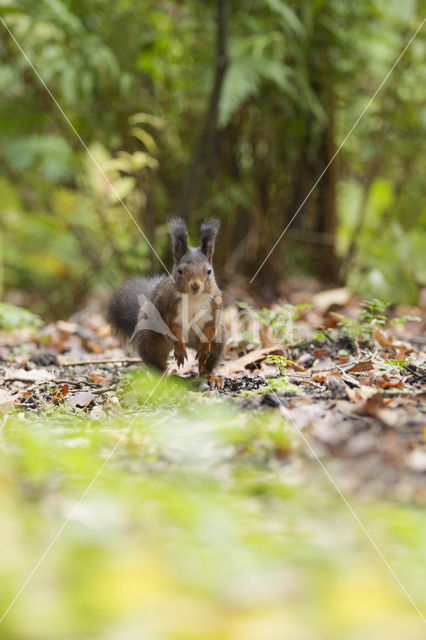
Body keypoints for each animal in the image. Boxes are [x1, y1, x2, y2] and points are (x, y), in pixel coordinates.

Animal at [106, 218, 226, 382]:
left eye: (209, 271)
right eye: (180, 270)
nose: (195, 285)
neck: (193, 297)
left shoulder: (215, 305)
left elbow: (211, 328)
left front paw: (203, 348)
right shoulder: (166, 306)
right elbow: (171, 328)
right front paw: (180, 349)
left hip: (218, 341)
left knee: (210, 358)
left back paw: (209, 376)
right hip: (150, 341)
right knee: (155, 360)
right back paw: (163, 377)